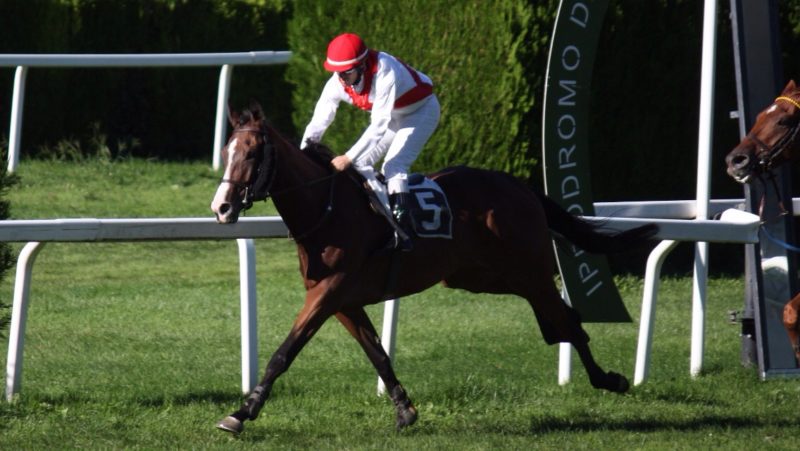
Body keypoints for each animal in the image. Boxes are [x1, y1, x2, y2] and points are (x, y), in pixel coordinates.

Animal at [209, 102, 660, 434]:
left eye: (251, 154)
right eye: (226, 153)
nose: (222, 208)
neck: (326, 208)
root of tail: (520, 186)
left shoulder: (329, 291)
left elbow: (284, 352)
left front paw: (242, 413)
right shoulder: (342, 301)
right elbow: (377, 352)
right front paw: (405, 410)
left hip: (527, 270)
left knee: (566, 319)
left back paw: (609, 379)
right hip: (482, 277)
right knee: (561, 318)